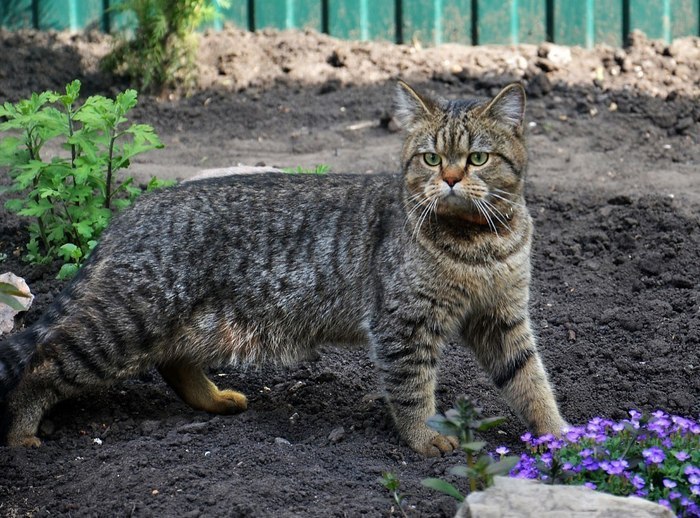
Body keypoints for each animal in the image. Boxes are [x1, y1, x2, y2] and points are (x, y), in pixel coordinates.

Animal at [0, 80, 568, 456]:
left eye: (477, 159)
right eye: (430, 159)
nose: (449, 178)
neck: (482, 243)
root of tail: (130, 212)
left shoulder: (502, 318)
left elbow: (531, 383)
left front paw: (563, 438)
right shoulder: (403, 325)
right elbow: (411, 391)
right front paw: (426, 437)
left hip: (192, 327)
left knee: (172, 363)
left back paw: (215, 400)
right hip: (121, 327)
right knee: (43, 363)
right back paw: (22, 433)